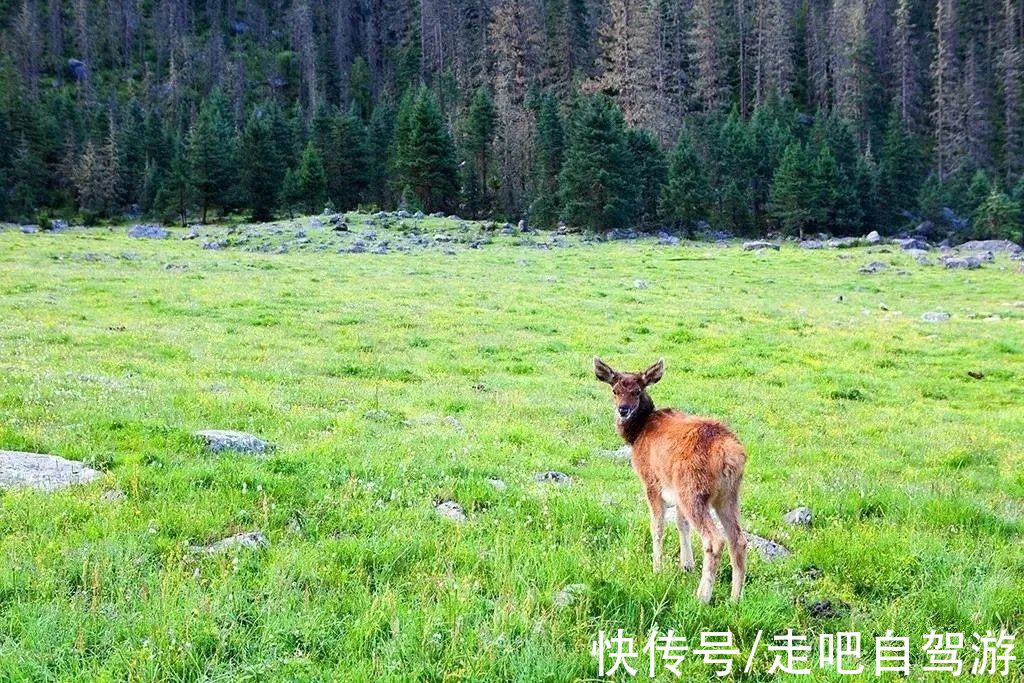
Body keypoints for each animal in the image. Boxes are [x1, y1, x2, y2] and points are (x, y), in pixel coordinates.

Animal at [593, 358, 745, 602]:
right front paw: (687, 566)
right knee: (738, 540)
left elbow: (657, 527)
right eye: (614, 390)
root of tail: (729, 454)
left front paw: (657, 568)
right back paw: (735, 599)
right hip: (728, 494)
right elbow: (681, 524)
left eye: (637, 391)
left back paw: (702, 597)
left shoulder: (651, 482)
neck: (637, 435)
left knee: (715, 540)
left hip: (693, 490)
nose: (622, 410)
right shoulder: (674, 489)